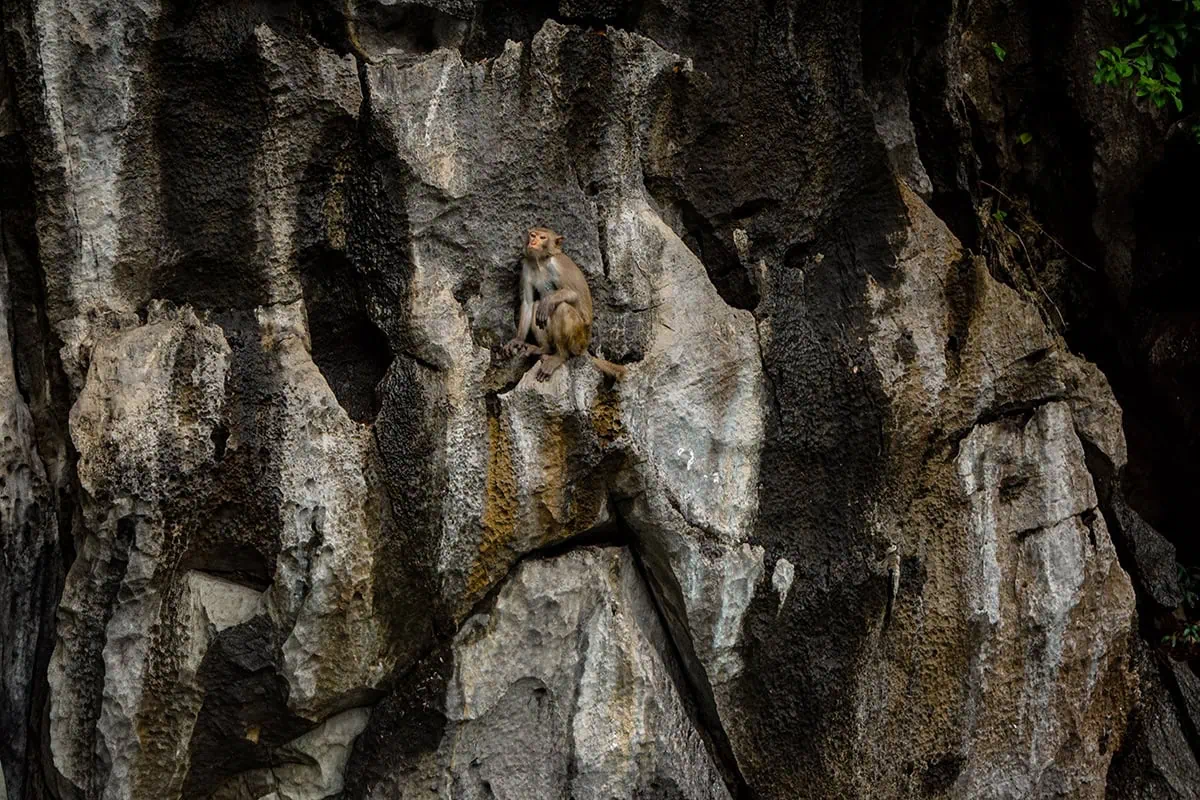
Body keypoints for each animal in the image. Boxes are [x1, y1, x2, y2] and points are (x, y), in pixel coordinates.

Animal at [502, 227, 626, 383]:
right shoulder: (527, 265)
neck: (541, 261)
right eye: (533, 235)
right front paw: (518, 340)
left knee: (561, 308)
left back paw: (560, 356)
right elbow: (528, 303)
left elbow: (574, 293)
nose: (533, 242)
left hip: (579, 341)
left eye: (543, 237)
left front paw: (548, 301)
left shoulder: (557, 264)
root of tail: (585, 348)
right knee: (537, 307)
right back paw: (544, 349)